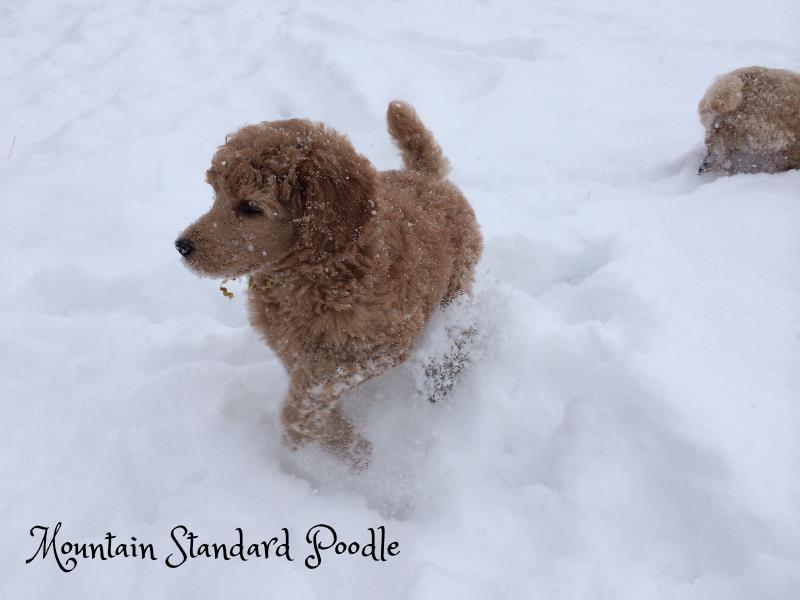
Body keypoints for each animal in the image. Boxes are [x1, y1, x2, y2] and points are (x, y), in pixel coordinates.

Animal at [177, 102, 482, 468]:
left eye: (251, 207)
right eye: (215, 193)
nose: (182, 246)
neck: (319, 272)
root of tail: (427, 177)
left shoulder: (383, 343)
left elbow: (313, 389)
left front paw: (308, 439)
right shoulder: (290, 350)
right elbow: (312, 390)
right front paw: (349, 449)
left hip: (459, 278)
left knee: (461, 325)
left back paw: (445, 372)